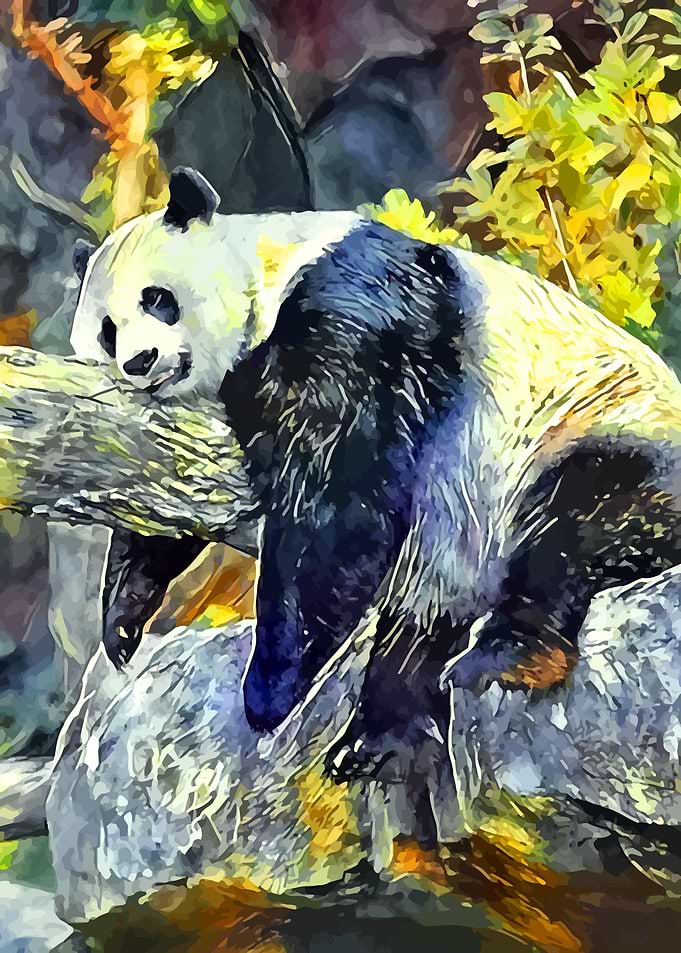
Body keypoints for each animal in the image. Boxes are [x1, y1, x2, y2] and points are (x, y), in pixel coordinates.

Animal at [71, 166, 681, 767]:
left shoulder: (358, 309)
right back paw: (381, 732)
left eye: (157, 298)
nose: (139, 362)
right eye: (107, 330)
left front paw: (270, 690)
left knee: (576, 521)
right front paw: (122, 618)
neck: (267, 271)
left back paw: (512, 655)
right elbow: (172, 494)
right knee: (425, 622)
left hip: (589, 431)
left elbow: (338, 493)